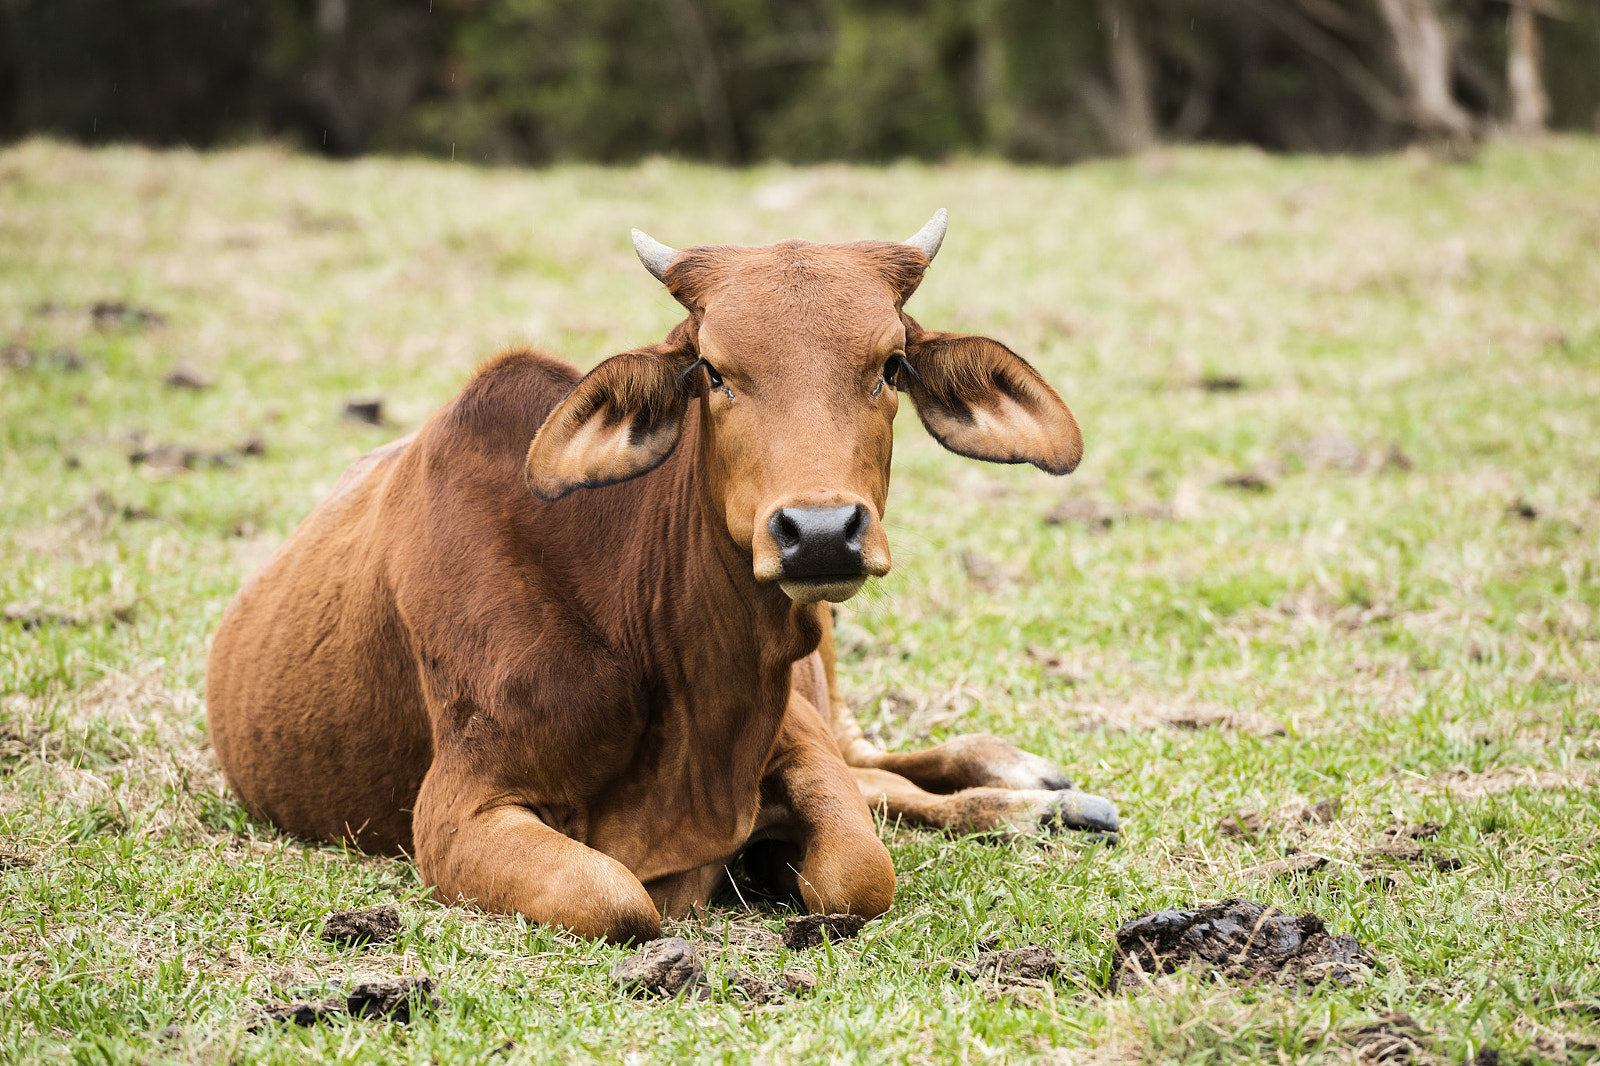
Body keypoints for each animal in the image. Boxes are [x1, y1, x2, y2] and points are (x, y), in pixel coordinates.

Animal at [205, 211, 1119, 944]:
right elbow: (620, 901)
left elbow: (859, 870)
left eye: (892, 366)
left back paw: (1036, 790)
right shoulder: (458, 811)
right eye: (712, 371)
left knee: (879, 764)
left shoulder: (794, 733)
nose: (820, 534)